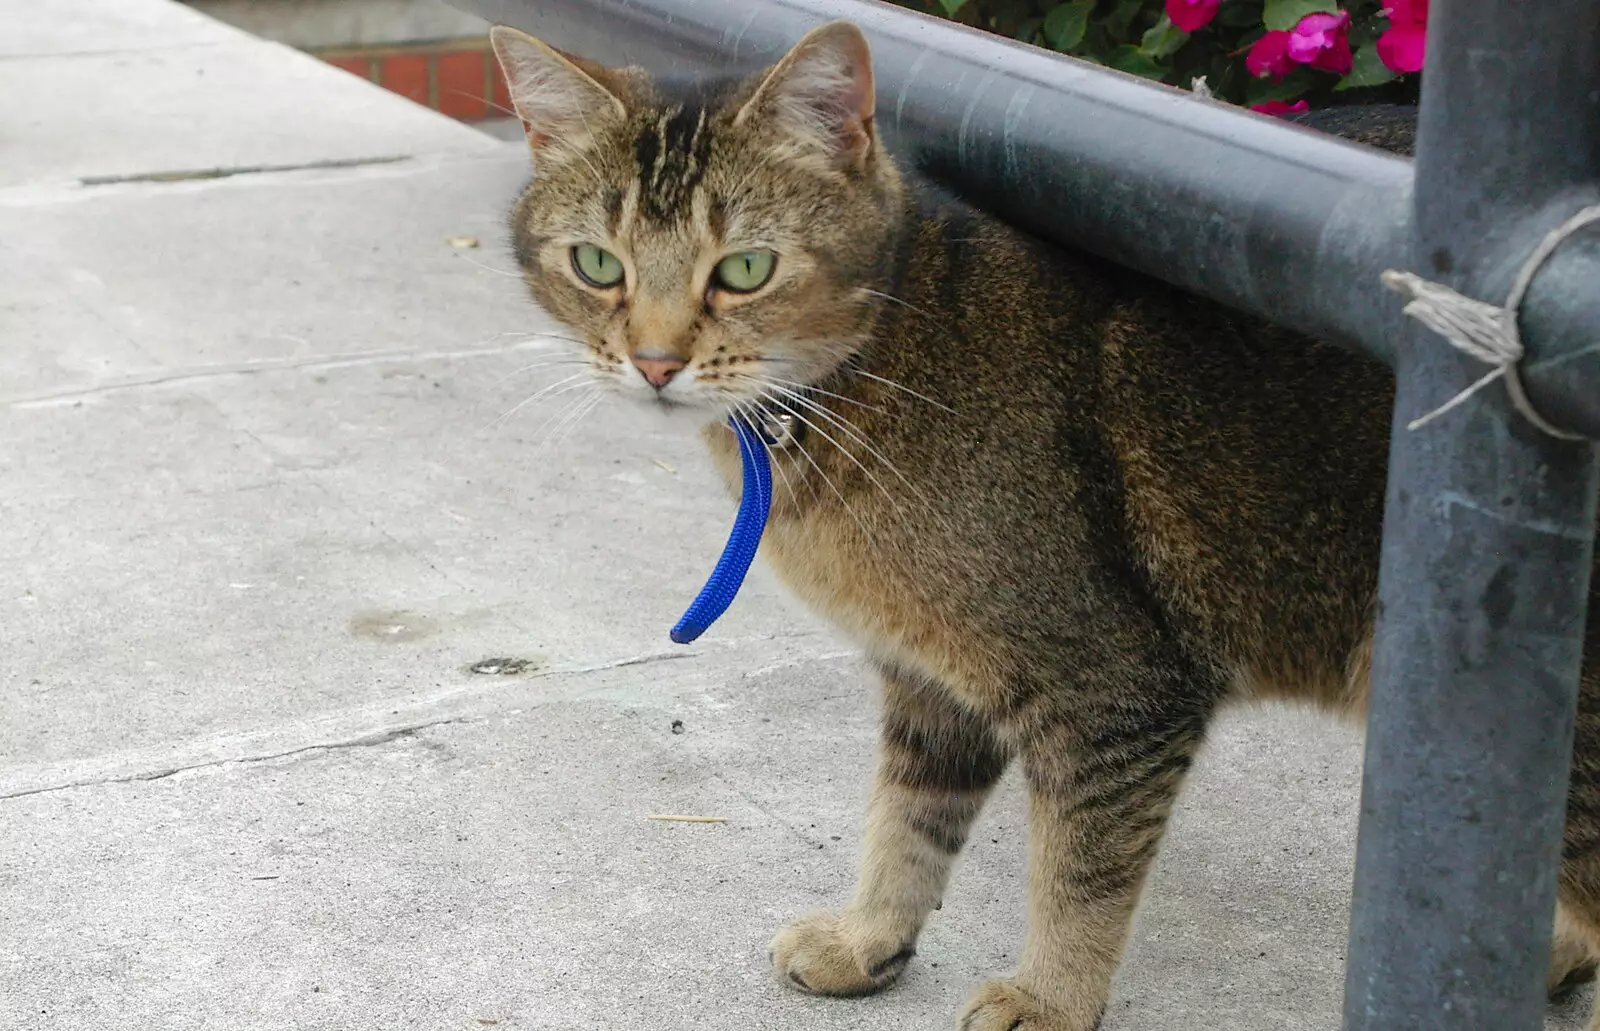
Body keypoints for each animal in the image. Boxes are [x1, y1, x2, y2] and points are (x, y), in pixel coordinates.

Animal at [486, 18, 1600, 1031]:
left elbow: (1079, 873)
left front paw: (1052, 998)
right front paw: (868, 938)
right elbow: (906, 821)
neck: (875, 369)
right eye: (597, 264)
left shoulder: (1112, 687)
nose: (655, 362)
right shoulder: (932, 678)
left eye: (746, 269)